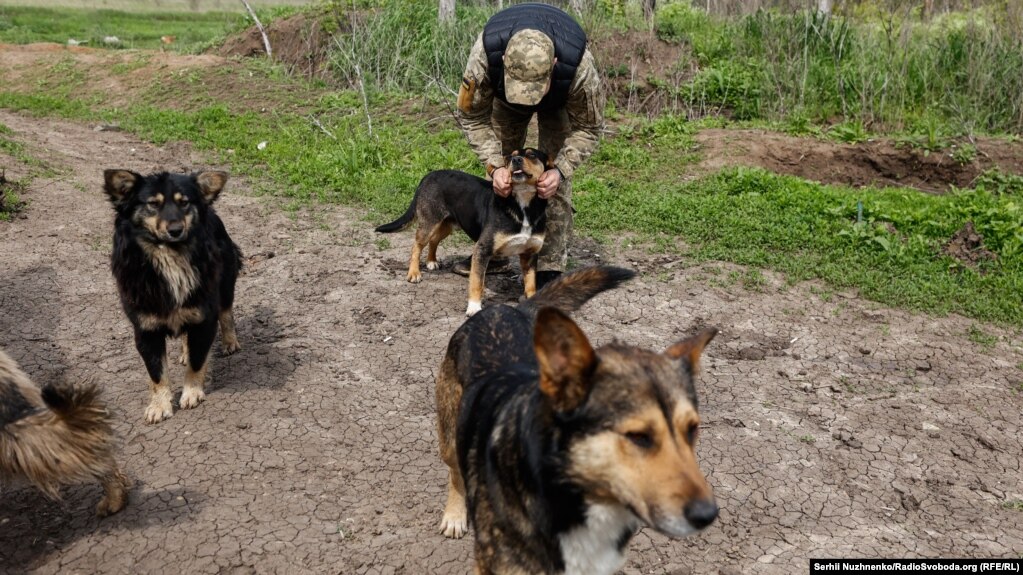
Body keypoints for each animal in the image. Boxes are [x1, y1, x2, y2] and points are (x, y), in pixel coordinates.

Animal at [103, 167, 241, 423]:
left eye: (184, 202)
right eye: (153, 204)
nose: (176, 230)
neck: (171, 255)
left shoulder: (205, 317)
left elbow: (198, 360)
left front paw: (192, 392)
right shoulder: (145, 329)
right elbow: (157, 372)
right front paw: (159, 405)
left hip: (226, 277)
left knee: (227, 312)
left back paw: (230, 342)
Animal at [376, 147, 552, 315]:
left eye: (532, 155)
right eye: (510, 157)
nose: (516, 160)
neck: (523, 205)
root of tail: (429, 175)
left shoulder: (530, 254)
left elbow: (531, 284)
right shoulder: (482, 249)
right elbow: (477, 282)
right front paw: (474, 307)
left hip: (447, 225)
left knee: (434, 240)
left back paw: (431, 261)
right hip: (429, 222)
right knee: (417, 245)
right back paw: (414, 273)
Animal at [433, 266, 720, 568]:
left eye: (692, 429)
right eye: (638, 436)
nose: (707, 515)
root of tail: (505, 308)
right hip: (449, 436)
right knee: (455, 472)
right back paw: (454, 514)